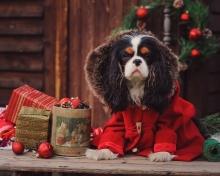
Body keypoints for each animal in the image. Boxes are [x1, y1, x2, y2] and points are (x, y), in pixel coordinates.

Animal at [84, 29, 205, 162]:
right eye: (125, 55)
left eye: (147, 56)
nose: (137, 61)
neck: (137, 83)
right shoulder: (119, 117)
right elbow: (114, 130)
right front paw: (104, 151)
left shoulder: (169, 114)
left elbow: (166, 129)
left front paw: (162, 153)